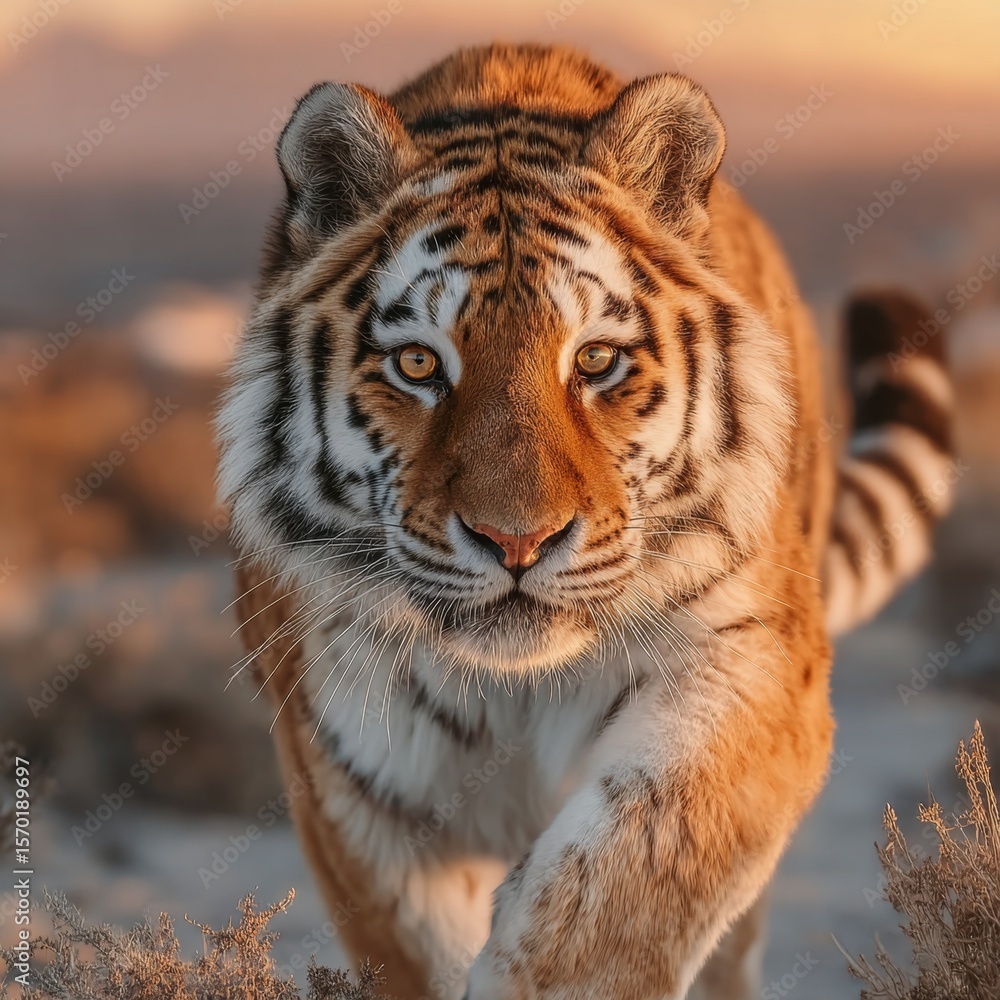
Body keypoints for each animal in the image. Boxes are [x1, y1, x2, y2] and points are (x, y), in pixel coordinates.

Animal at [216, 44, 955, 1000]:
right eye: (418, 364)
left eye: (596, 359)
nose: (516, 542)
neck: (515, 688)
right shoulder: (350, 773)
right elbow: (419, 948)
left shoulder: (750, 666)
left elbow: (621, 883)